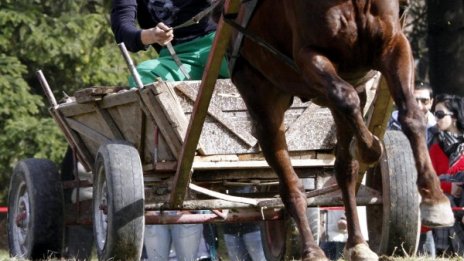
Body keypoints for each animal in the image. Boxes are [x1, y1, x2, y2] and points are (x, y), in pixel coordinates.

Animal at [227, 0, 454, 260]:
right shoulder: (309, 55)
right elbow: (346, 97)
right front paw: (368, 148)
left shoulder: (393, 43)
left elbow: (411, 114)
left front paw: (434, 198)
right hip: (261, 97)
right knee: (289, 181)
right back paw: (311, 250)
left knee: (345, 170)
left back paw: (357, 243)